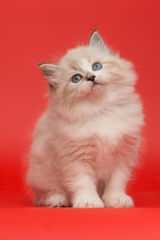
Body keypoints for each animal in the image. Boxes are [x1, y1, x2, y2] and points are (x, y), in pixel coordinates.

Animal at [26, 30, 144, 208]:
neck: (101, 110)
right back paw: (57, 200)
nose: (90, 77)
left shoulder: (123, 154)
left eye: (96, 66)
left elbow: (117, 181)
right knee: (46, 192)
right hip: (41, 170)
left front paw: (116, 199)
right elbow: (83, 182)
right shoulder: (75, 158)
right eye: (76, 78)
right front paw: (89, 201)